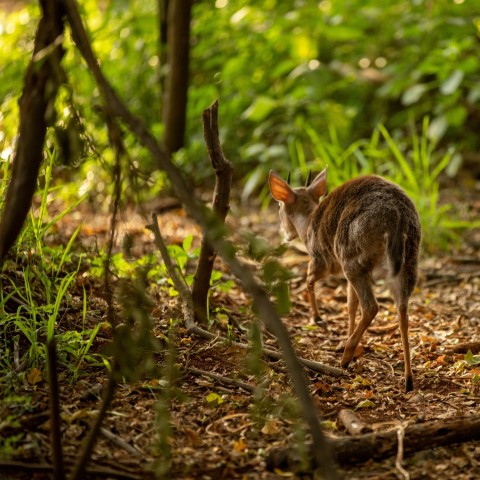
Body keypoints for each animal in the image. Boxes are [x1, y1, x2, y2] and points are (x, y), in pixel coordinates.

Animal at [268, 167, 422, 392]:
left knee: (371, 306)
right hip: (407, 260)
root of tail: (398, 219)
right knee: (402, 311)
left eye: (279, 207)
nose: (284, 233)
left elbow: (309, 280)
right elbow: (350, 304)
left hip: (351, 255)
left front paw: (318, 318)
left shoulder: (323, 260)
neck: (307, 228)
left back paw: (345, 358)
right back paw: (408, 379)